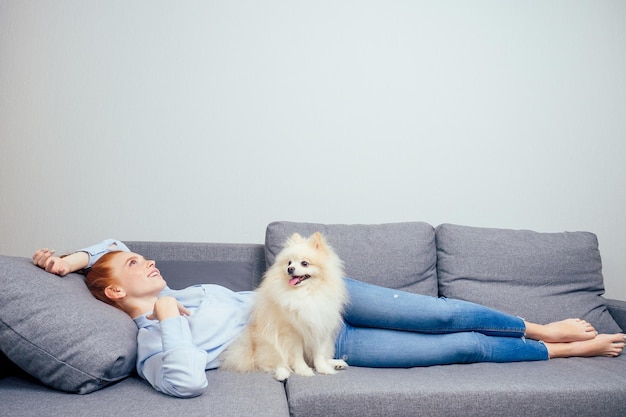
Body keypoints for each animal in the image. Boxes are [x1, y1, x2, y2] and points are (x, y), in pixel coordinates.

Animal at [219, 231, 346, 380]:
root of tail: (251, 349)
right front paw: (303, 370)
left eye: (304, 263)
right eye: (289, 262)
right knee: (275, 363)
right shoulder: (292, 333)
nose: (290, 269)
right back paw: (282, 373)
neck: (305, 294)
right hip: (271, 344)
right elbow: (297, 355)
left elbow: (318, 354)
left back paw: (336, 363)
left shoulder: (319, 328)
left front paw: (323, 368)